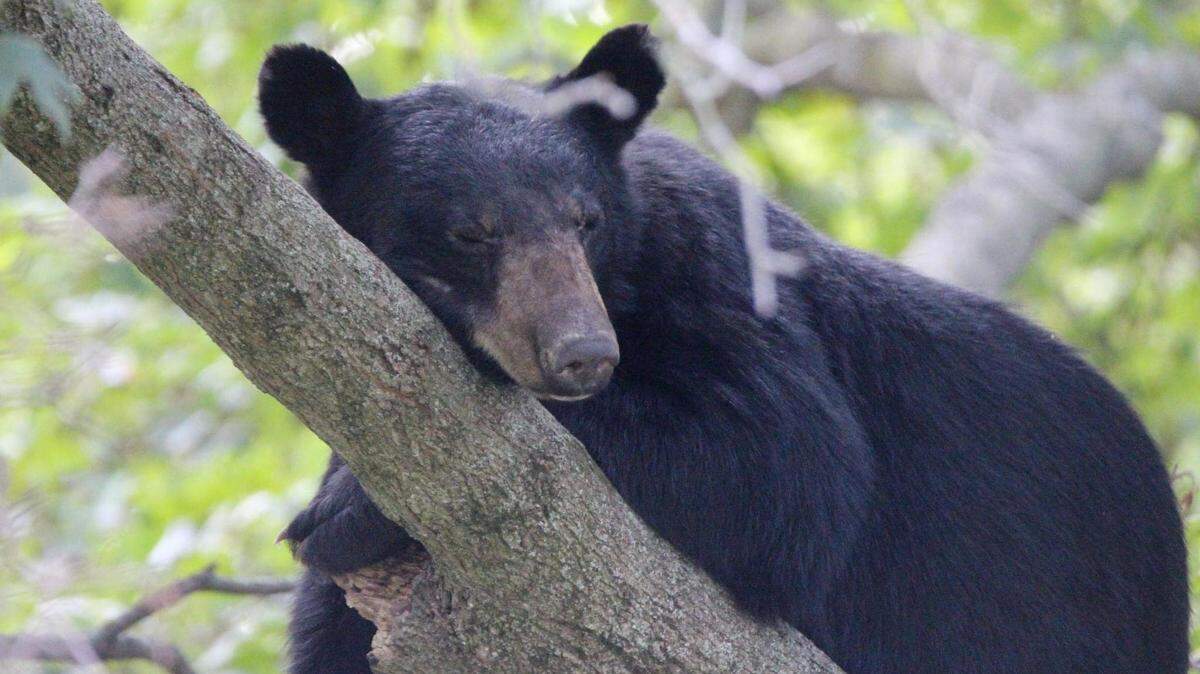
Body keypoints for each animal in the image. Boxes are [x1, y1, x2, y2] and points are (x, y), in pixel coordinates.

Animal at [258, 25, 1188, 674]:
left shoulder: (721, 277)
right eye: (471, 232)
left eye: (586, 221)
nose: (583, 353)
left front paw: (343, 516)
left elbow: (788, 470)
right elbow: (333, 633)